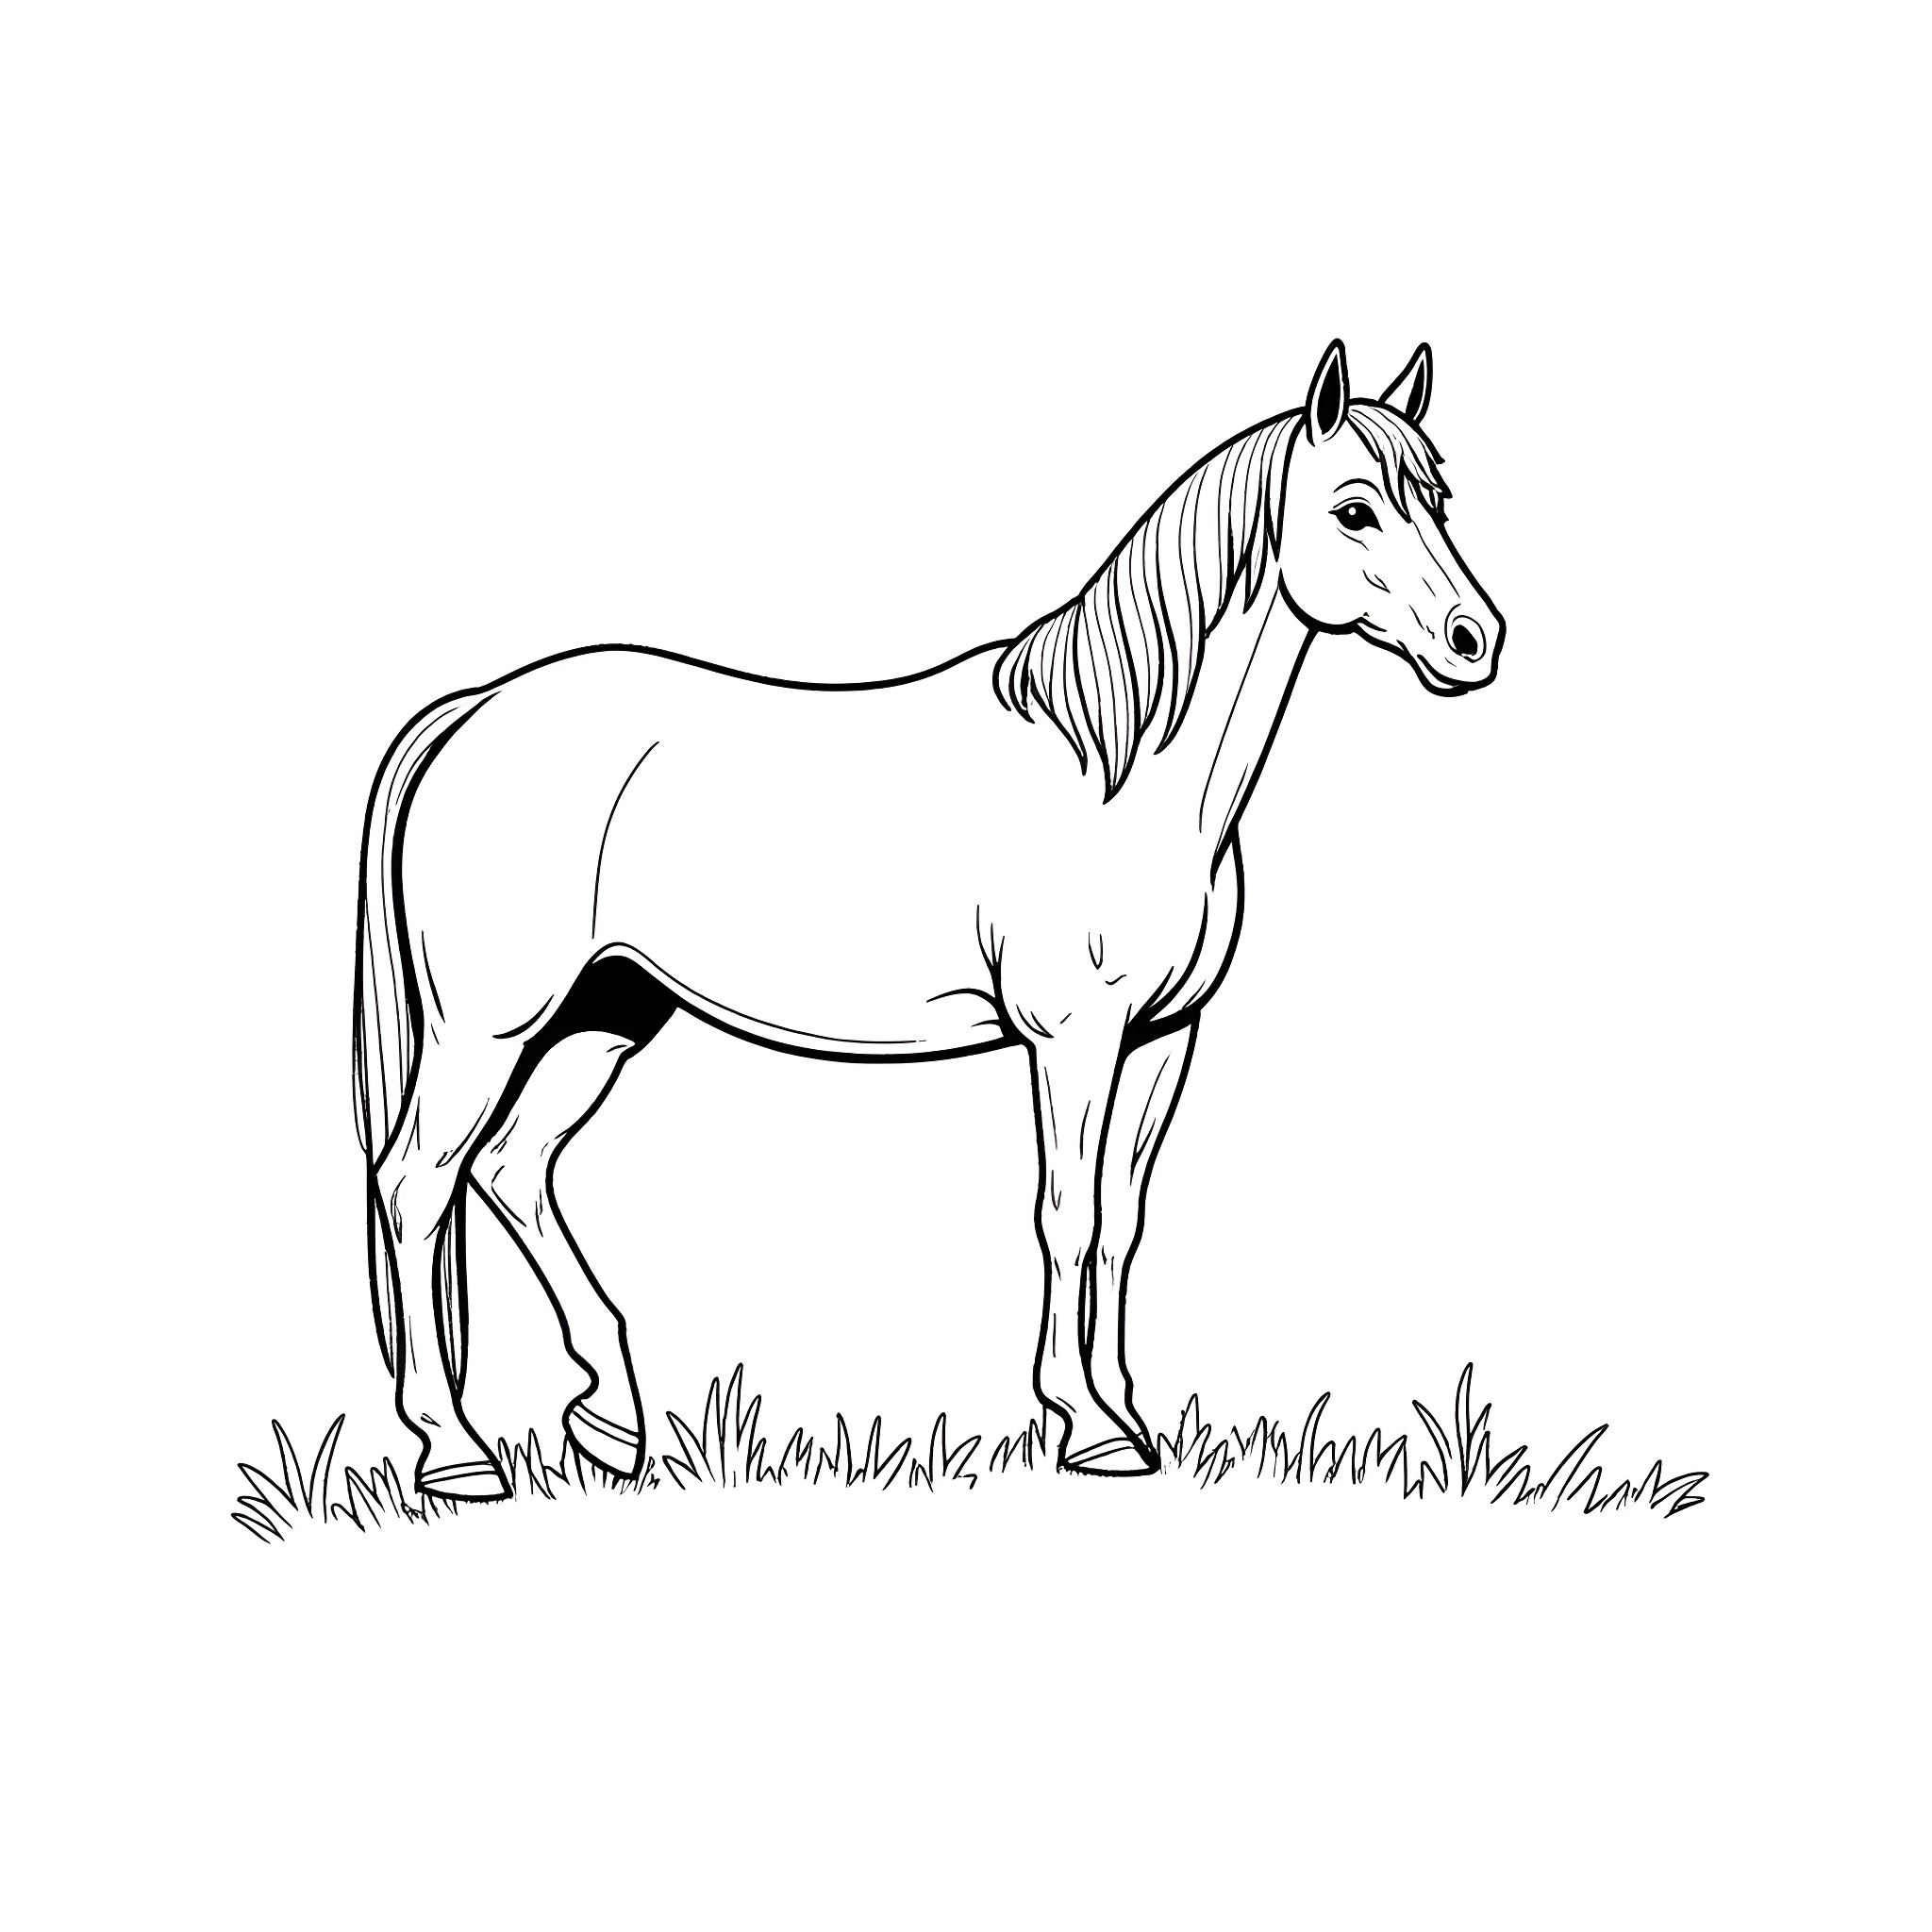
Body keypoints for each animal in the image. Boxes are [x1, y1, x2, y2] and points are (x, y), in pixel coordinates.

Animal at [352, 338, 1505, 1497]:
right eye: (1354, 509)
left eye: (1440, 499)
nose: (1475, 641)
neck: (1118, 777)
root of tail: (474, 711)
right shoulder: (1070, 1039)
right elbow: (1066, 1214)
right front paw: (1084, 1424)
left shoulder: (1162, 1037)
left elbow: (1122, 1224)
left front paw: (1130, 1415)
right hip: (486, 1029)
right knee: (416, 1183)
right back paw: (455, 1449)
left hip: (605, 1014)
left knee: (511, 1170)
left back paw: (614, 1422)